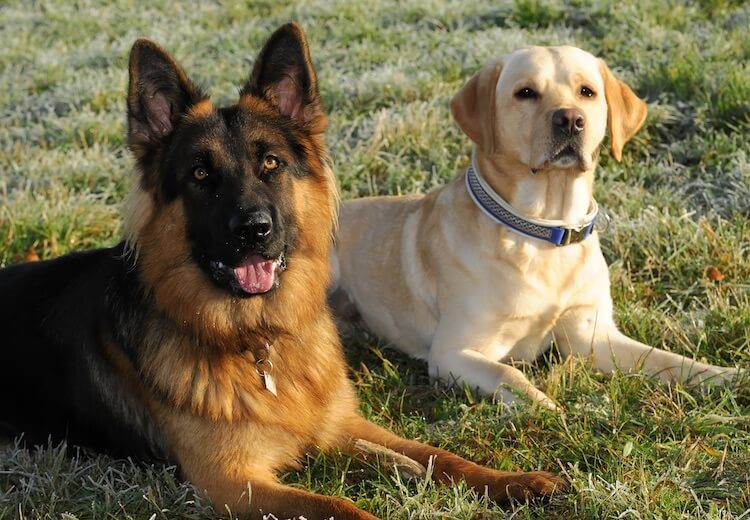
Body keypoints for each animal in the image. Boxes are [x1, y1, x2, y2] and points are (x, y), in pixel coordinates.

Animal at [0, 22, 564, 516]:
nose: (254, 229)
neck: (256, 341)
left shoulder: (343, 424)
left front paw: (514, 481)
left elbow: (438, 457)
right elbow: (339, 506)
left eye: (270, 163)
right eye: (200, 175)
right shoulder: (233, 483)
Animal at [334, 46, 740, 408]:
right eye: (525, 92)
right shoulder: (452, 351)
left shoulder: (592, 338)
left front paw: (726, 376)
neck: (546, 232)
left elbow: (669, 360)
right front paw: (550, 411)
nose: (570, 120)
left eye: (587, 92)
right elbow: (510, 374)